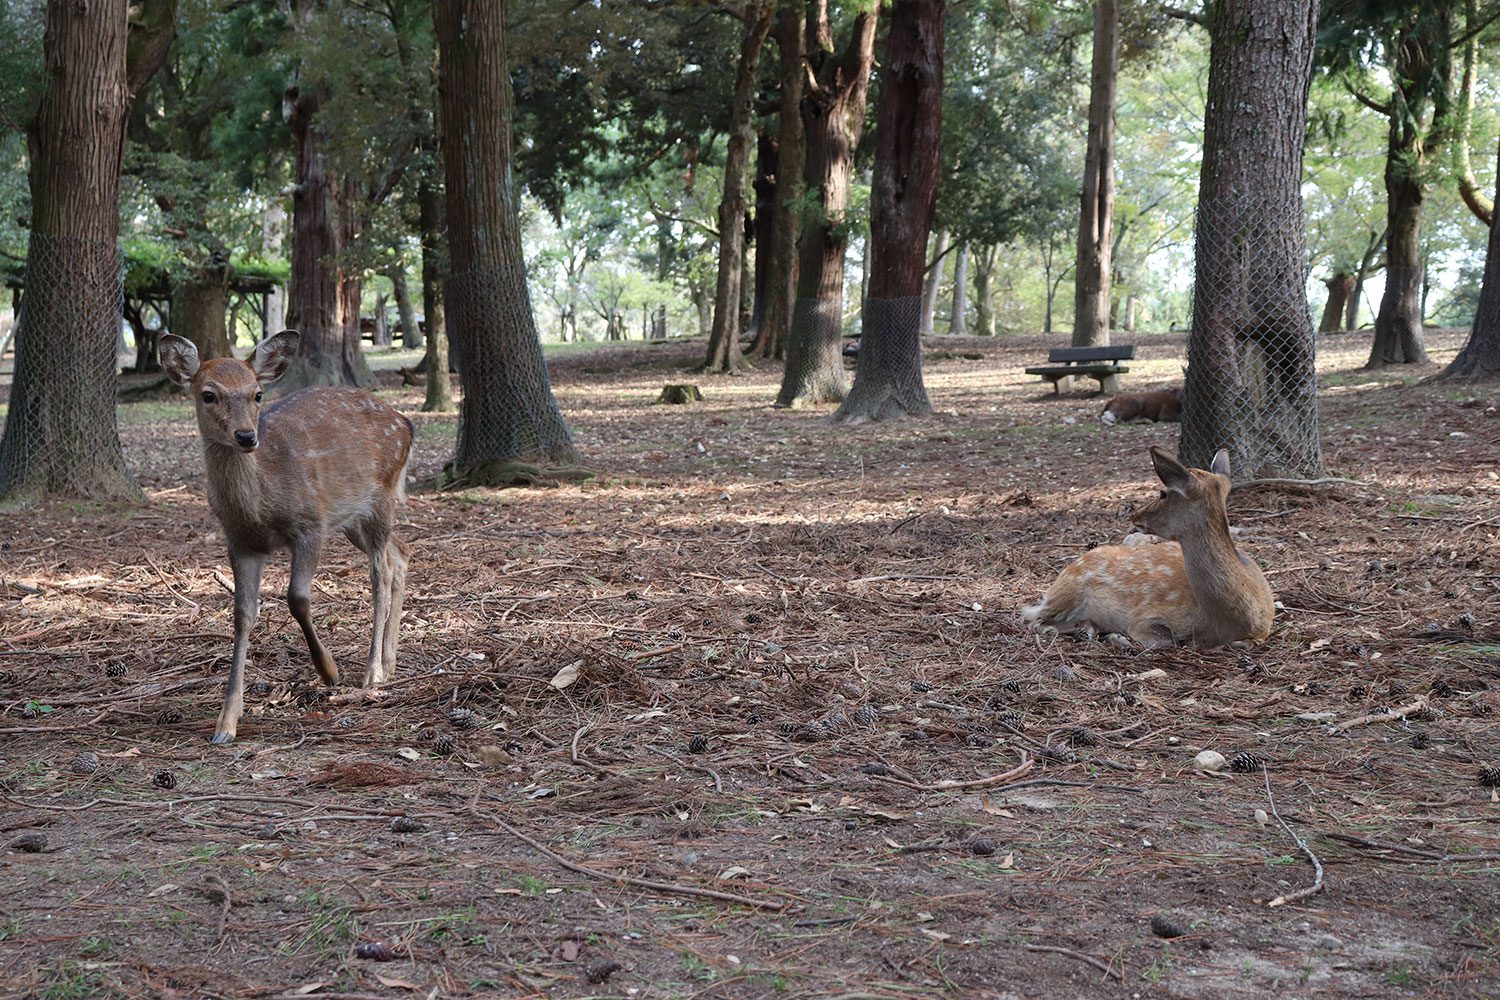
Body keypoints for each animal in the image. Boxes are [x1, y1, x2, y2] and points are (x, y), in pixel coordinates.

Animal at [162, 329, 417, 743]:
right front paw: (226, 722)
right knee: (401, 553)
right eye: (208, 394)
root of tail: (407, 423)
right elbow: (242, 615)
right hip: (353, 518)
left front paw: (328, 670)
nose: (246, 436)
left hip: (379, 498)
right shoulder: (240, 542)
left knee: (380, 573)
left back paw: (373, 672)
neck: (261, 505)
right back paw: (390, 661)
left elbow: (297, 598)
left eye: (257, 393)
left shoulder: (311, 524)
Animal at [1014, 446, 1272, 650]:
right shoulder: (1145, 615)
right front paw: (1119, 637)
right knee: (1032, 618)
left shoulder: (1263, 630)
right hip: (1067, 591)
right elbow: (1167, 641)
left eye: (1163, 493)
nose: (1135, 515)